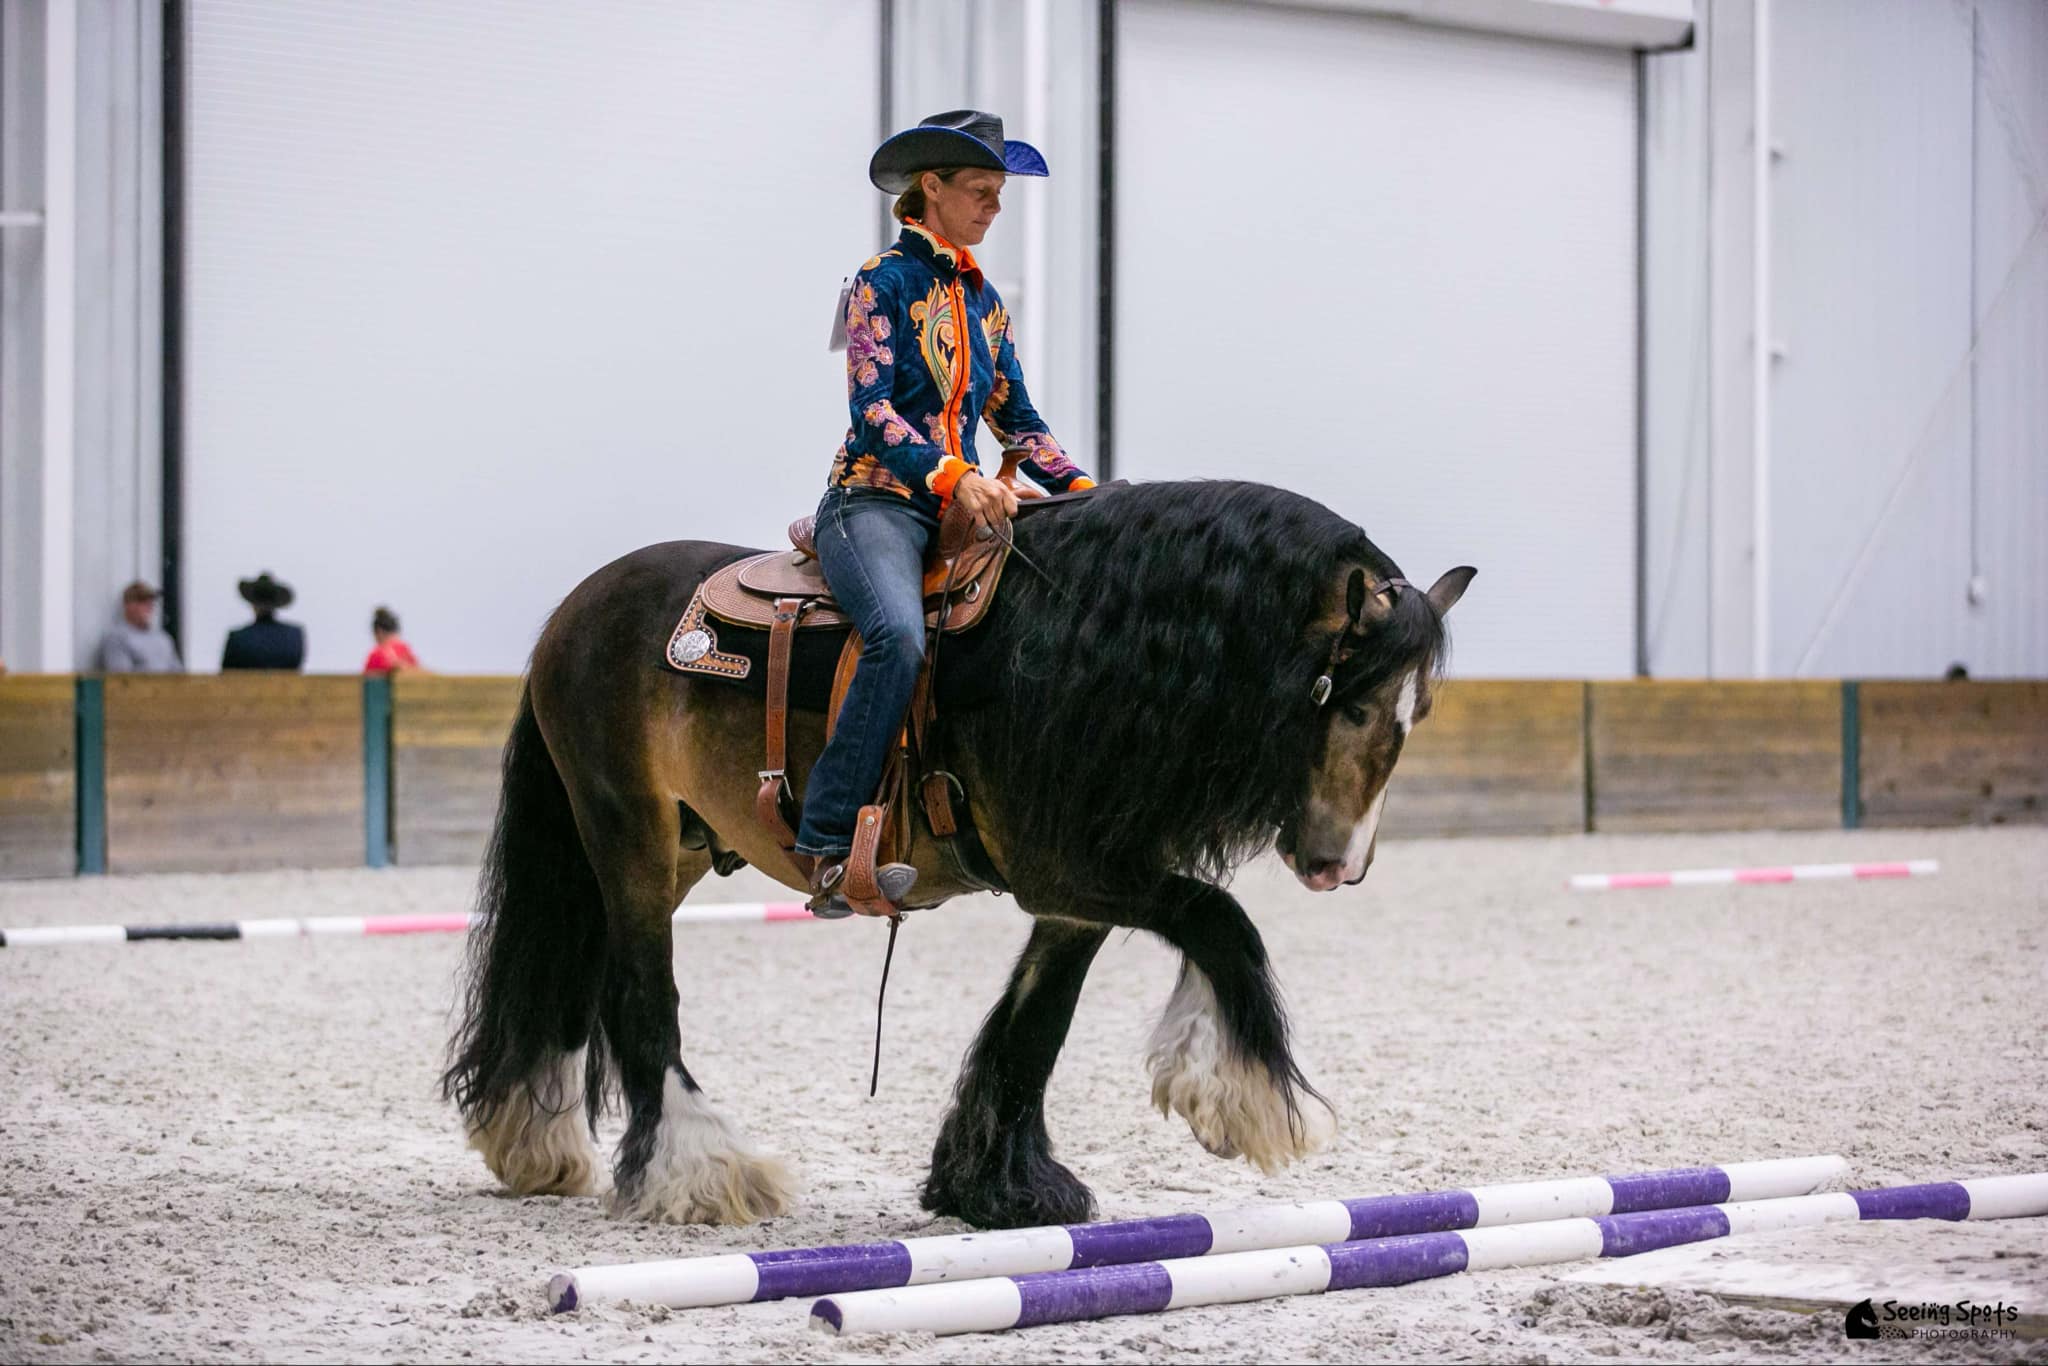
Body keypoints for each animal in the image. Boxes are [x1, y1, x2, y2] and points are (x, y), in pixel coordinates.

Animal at [442, 478, 1474, 1230]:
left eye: (1416, 709)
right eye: (1346, 697)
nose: (1342, 865)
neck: (1076, 652)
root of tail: (577, 610)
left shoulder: (1079, 892)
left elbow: (1035, 1027)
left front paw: (996, 1186)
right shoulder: (1077, 870)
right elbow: (1223, 924)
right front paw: (1246, 1102)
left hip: (672, 844)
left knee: (573, 973)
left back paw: (536, 1142)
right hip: (630, 838)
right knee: (638, 995)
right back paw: (702, 1172)